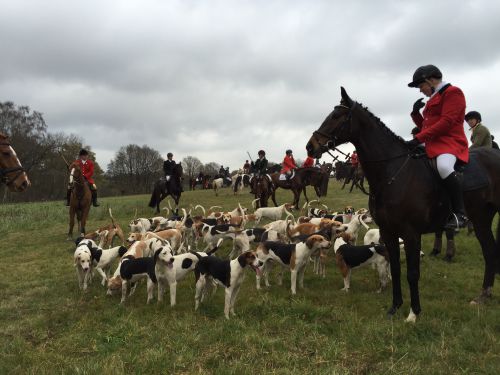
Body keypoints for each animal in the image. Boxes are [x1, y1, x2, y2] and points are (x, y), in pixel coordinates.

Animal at [306, 87, 500, 324]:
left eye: (336, 116)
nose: (310, 146)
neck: (393, 171)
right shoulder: (389, 232)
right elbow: (396, 269)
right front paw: (395, 307)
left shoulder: (410, 234)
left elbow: (412, 273)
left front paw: (413, 313)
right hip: (482, 219)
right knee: (490, 251)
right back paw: (484, 295)